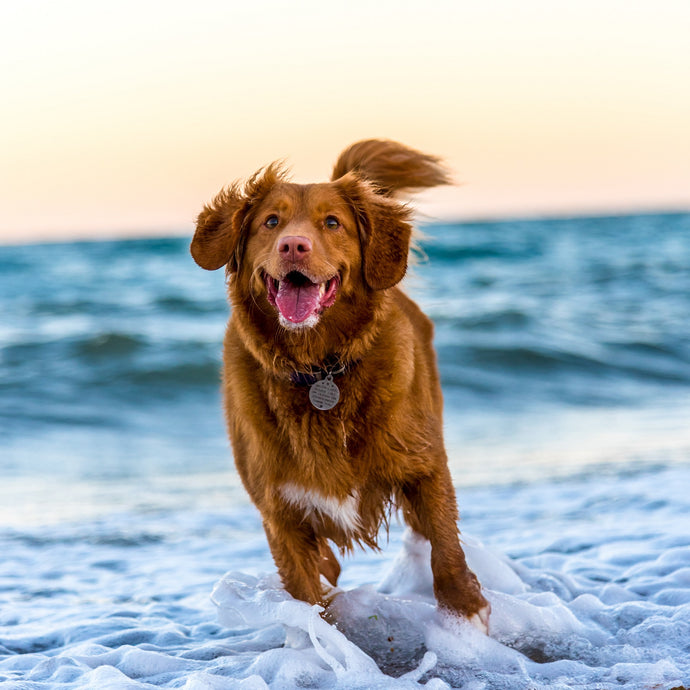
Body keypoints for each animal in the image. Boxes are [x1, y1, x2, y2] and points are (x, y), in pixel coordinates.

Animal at [188, 137, 490, 632]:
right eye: (271, 221)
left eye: (332, 222)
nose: (293, 245)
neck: (319, 368)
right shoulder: (279, 511)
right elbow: (307, 594)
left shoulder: (424, 464)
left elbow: (445, 545)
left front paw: (465, 611)